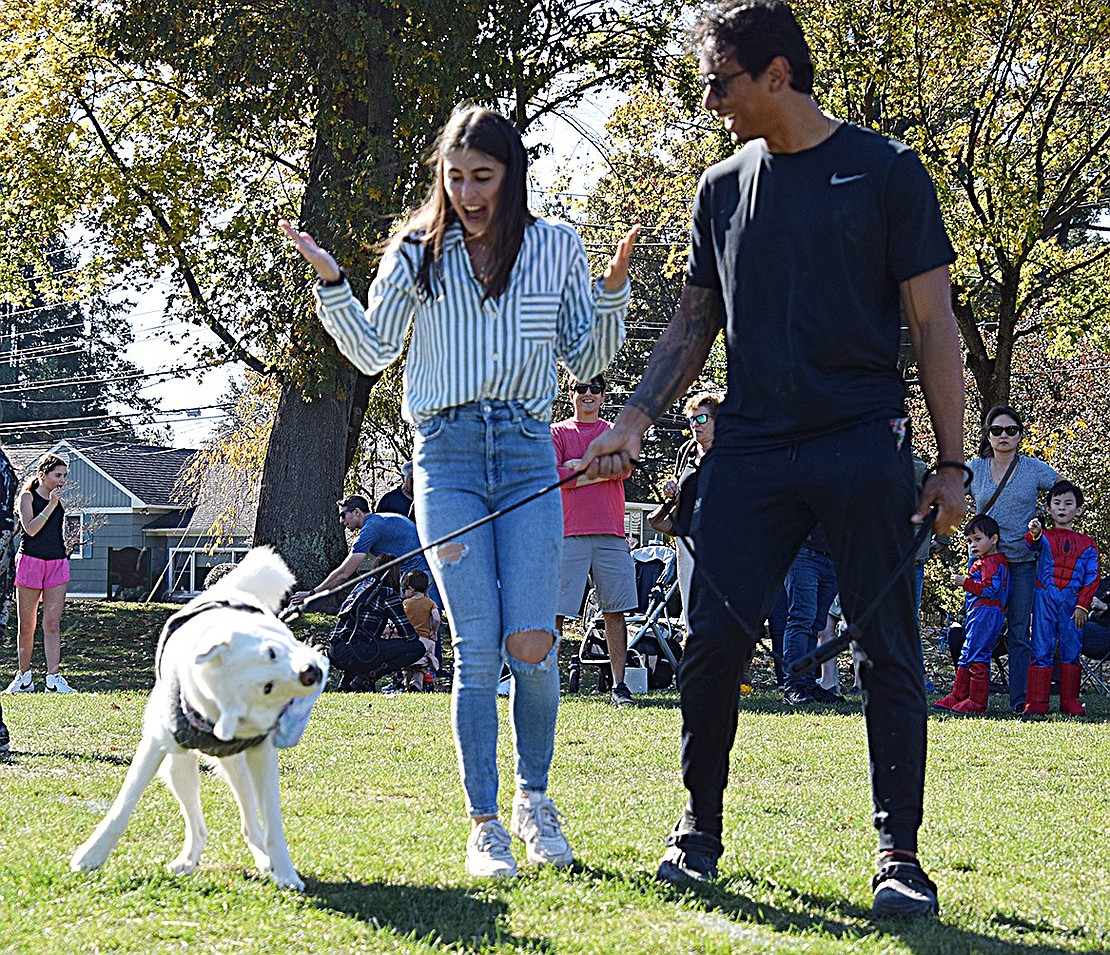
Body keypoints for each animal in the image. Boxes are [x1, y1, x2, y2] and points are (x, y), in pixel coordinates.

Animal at [71, 548, 324, 892]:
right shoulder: (154, 748)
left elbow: (273, 822)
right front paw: (92, 855)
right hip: (177, 769)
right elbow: (124, 805)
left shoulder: (262, 755)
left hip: (237, 770)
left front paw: (286, 872)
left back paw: (264, 860)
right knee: (198, 824)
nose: (310, 673)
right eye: (267, 687)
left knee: (249, 823)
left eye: (272, 653)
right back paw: (189, 860)